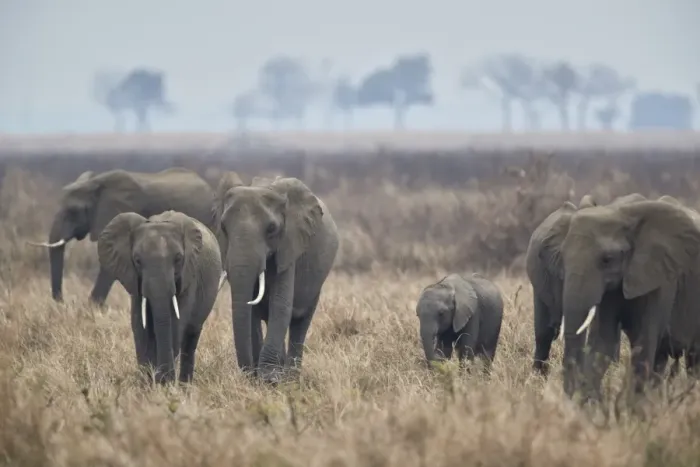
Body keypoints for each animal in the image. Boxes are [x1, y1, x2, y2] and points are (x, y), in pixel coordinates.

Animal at [97, 210, 222, 384]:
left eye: (178, 259)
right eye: (137, 260)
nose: (162, 379)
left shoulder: (189, 276)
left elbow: (176, 323)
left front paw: (163, 383)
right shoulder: (134, 280)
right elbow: (139, 325)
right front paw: (148, 383)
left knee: (191, 336)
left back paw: (185, 386)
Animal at [212, 173, 339, 383]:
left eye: (271, 228)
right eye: (223, 226)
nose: (247, 372)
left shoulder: (290, 244)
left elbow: (280, 304)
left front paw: (269, 379)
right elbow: (252, 308)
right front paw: (258, 378)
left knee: (300, 321)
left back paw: (291, 378)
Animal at [541, 199, 700, 401]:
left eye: (607, 259)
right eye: (561, 257)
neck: (621, 214)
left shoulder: (661, 280)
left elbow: (644, 343)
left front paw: (627, 407)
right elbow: (603, 342)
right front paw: (591, 404)